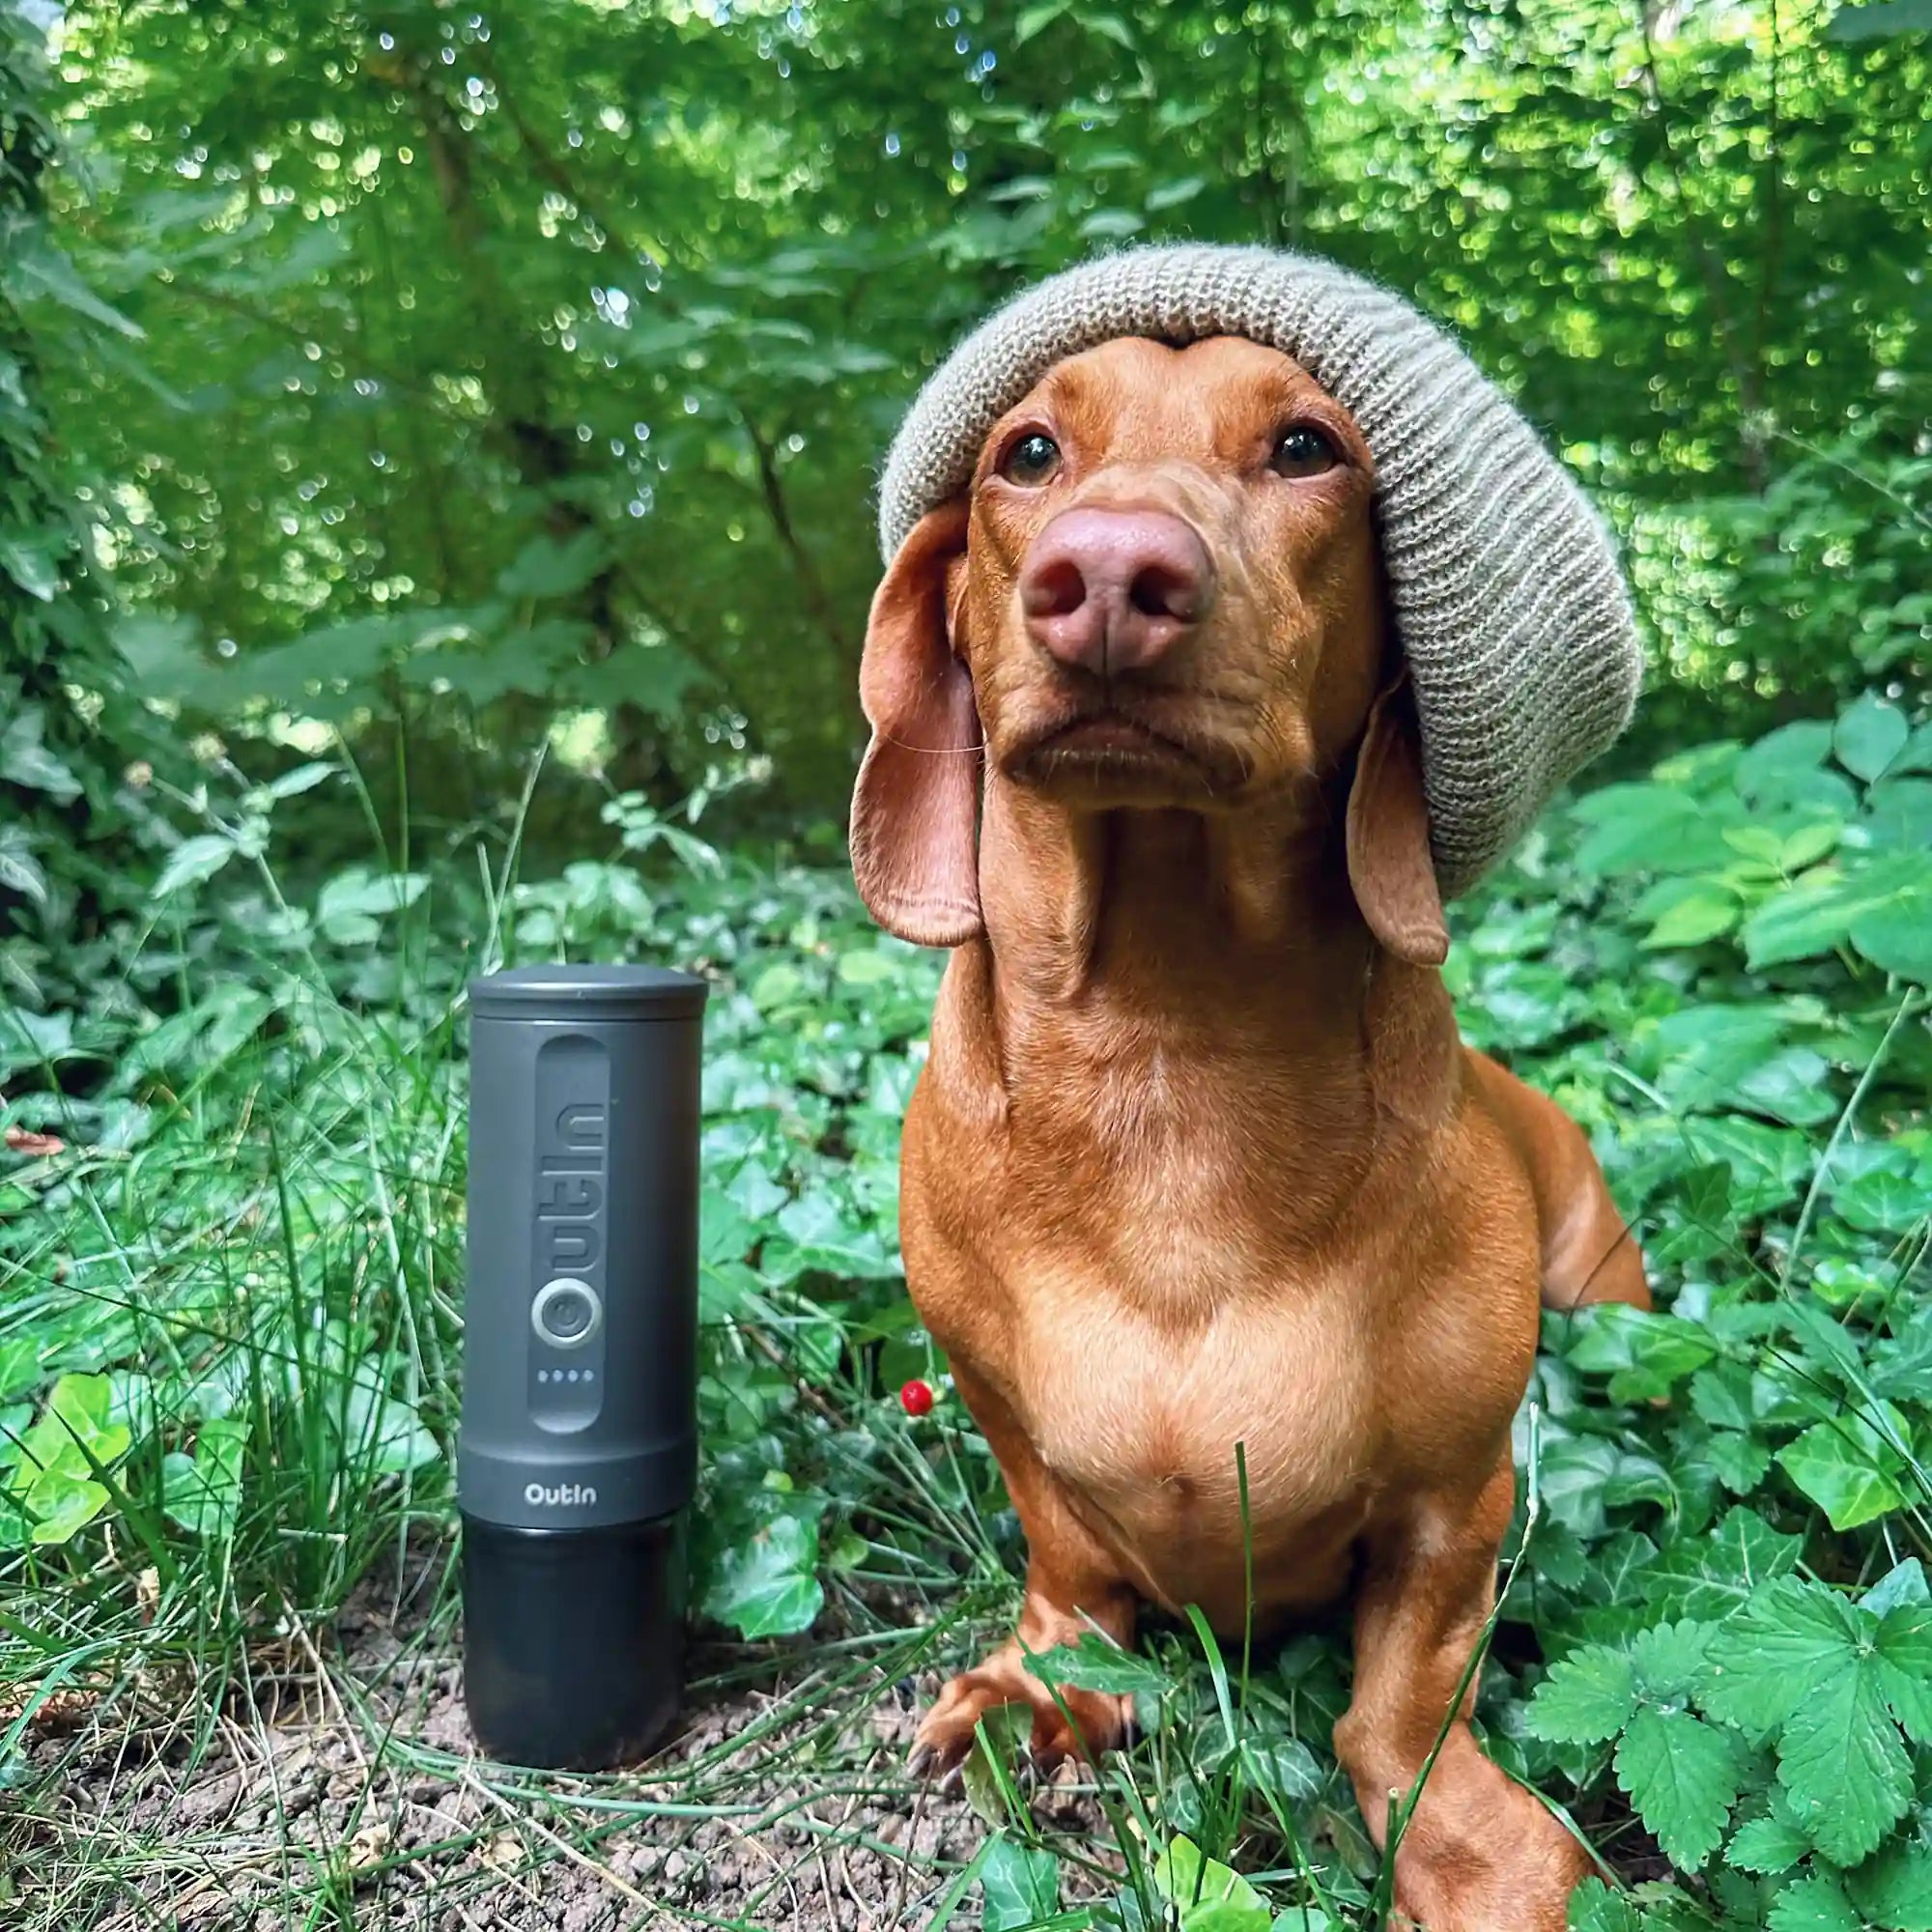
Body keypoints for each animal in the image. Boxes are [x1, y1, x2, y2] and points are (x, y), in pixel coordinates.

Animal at [846, 336, 1646, 1932]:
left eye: (1305, 448)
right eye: (1029, 455)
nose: (1107, 572)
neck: (1170, 1056)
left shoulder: (1459, 1501)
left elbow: (1395, 1709)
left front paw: (1474, 1847)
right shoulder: (1008, 1425)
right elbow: (1069, 1564)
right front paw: (1041, 1679)